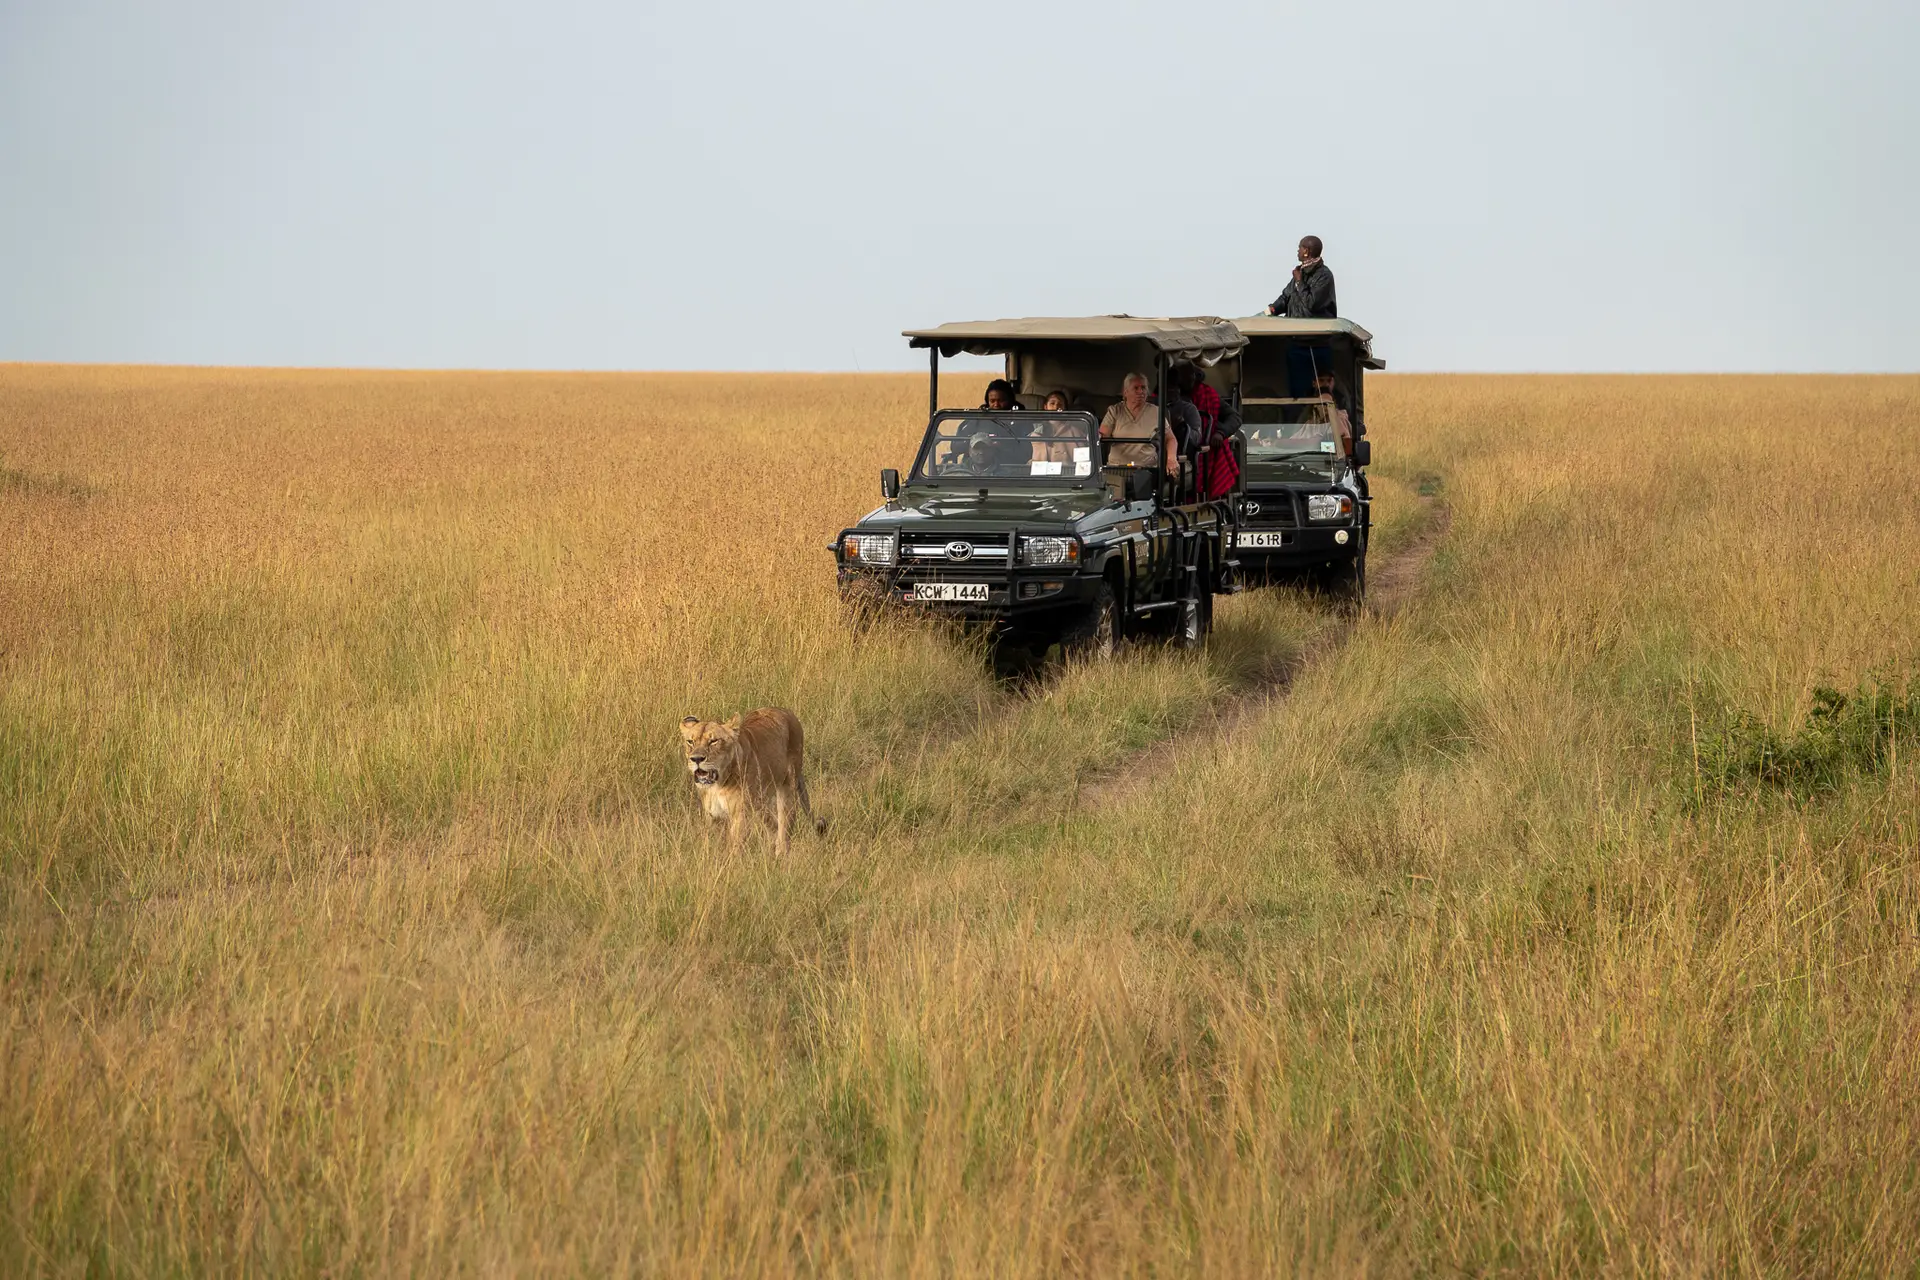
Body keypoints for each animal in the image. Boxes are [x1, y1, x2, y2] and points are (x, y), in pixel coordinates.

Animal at [679, 707, 825, 855]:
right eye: (690, 742)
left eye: (713, 741)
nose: (696, 759)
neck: (717, 785)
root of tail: (785, 711)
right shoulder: (713, 815)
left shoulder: (740, 815)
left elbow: (735, 847)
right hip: (760, 802)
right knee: (773, 824)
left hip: (787, 788)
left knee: (784, 826)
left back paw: (781, 854)